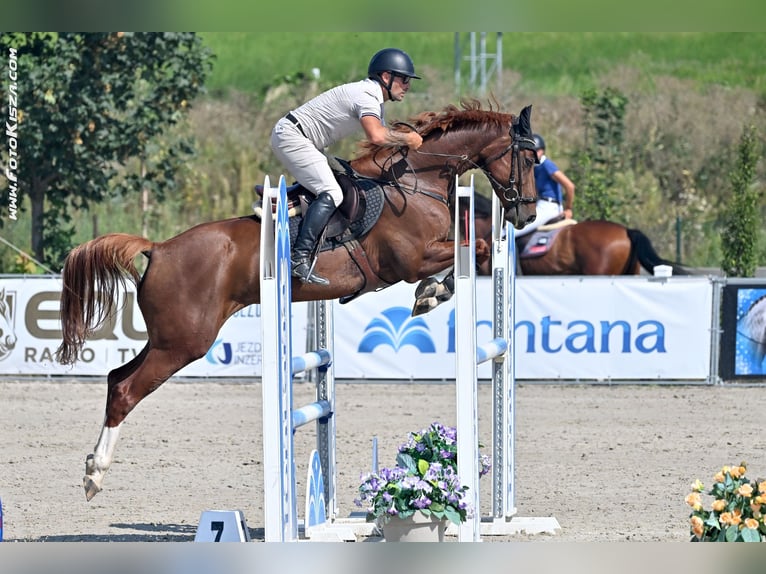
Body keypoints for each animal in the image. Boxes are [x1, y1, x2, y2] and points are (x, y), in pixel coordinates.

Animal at [56, 101, 539, 501]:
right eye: (529, 159)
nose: (527, 214)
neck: (415, 181)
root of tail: (158, 248)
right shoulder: (410, 259)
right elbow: (476, 249)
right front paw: (431, 293)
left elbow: (475, 251)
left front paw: (432, 293)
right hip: (184, 342)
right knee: (125, 391)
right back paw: (94, 475)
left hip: (168, 339)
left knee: (116, 378)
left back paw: (93, 466)